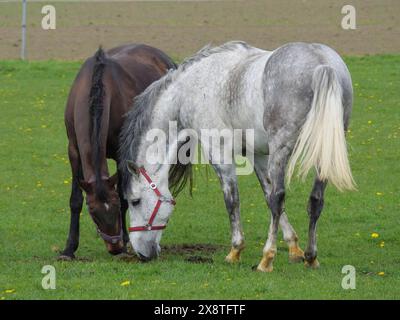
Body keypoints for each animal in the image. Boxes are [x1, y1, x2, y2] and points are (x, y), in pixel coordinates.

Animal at [59, 44, 177, 260]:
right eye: (93, 212)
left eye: (113, 208)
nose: (114, 247)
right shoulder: (73, 150)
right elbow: (75, 200)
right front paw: (69, 249)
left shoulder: (123, 155)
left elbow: (124, 197)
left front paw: (126, 244)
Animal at [118, 39, 354, 270]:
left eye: (135, 201)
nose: (142, 254)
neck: (189, 91)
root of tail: (322, 64)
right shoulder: (258, 155)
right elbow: (267, 194)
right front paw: (294, 248)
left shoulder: (219, 153)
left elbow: (233, 199)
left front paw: (236, 250)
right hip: (322, 154)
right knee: (314, 199)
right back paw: (311, 257)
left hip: (282, 149)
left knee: (279, 197)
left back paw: (267, 258)